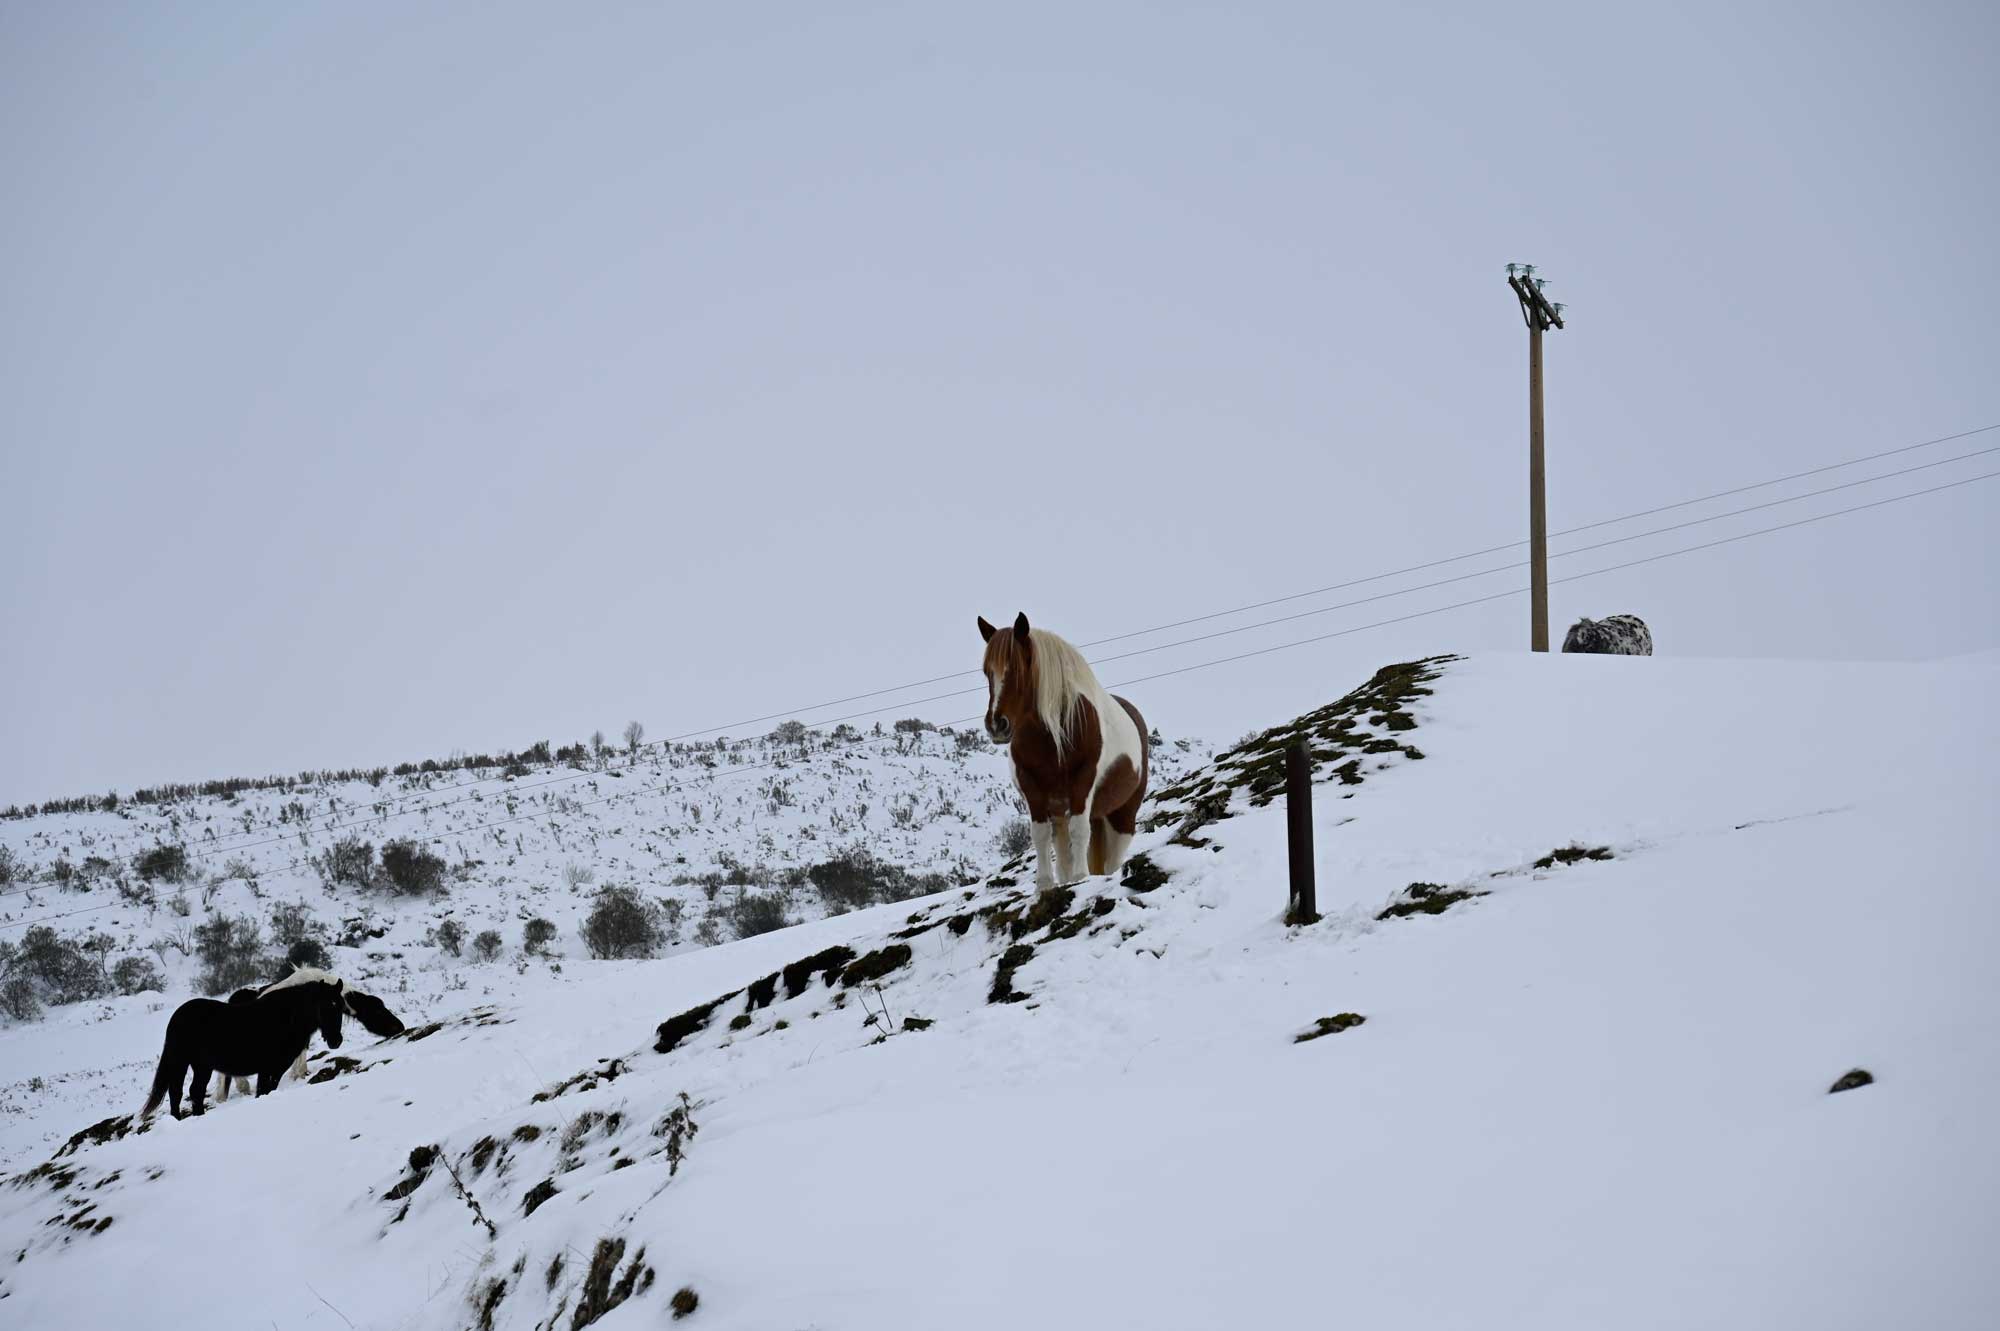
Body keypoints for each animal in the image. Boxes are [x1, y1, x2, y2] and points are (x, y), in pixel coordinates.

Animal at [142, 971, 348, 1111]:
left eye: (340, 1007)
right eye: (324, 1006)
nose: (336, 1041)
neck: (286, 1017)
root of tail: (178, 1016)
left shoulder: (276, 1069)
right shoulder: (268, 1068)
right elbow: (262, 1091)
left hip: (201, 1066)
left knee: (193, 1092)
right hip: (182, 1061)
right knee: (178, 1094)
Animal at [976, 611, 1152, 891]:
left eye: (1017, 668)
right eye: (987, 672)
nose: (996, 725)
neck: (1051, 736)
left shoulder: (1083, 782)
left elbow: (1079, 829)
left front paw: (1081, 878)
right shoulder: (1033, 789)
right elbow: (1040, 835)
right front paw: (1044, 885)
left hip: (1121, 815)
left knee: (1112, 860)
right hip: (1064, 811)